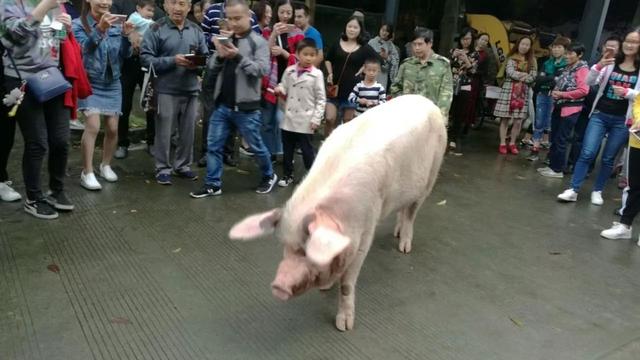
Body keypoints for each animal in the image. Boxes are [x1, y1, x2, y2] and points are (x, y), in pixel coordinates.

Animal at [229, 95, 444, 332]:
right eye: (286, 246)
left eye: (306, 250)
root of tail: (427, 101)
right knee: (404, 209)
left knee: (411, 213)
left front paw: (344, 326)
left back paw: (404, 247)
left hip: (432, 175)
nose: (278, 286)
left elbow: (348, 284)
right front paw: (326, 289)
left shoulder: (365, 233)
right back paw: (396, 233)